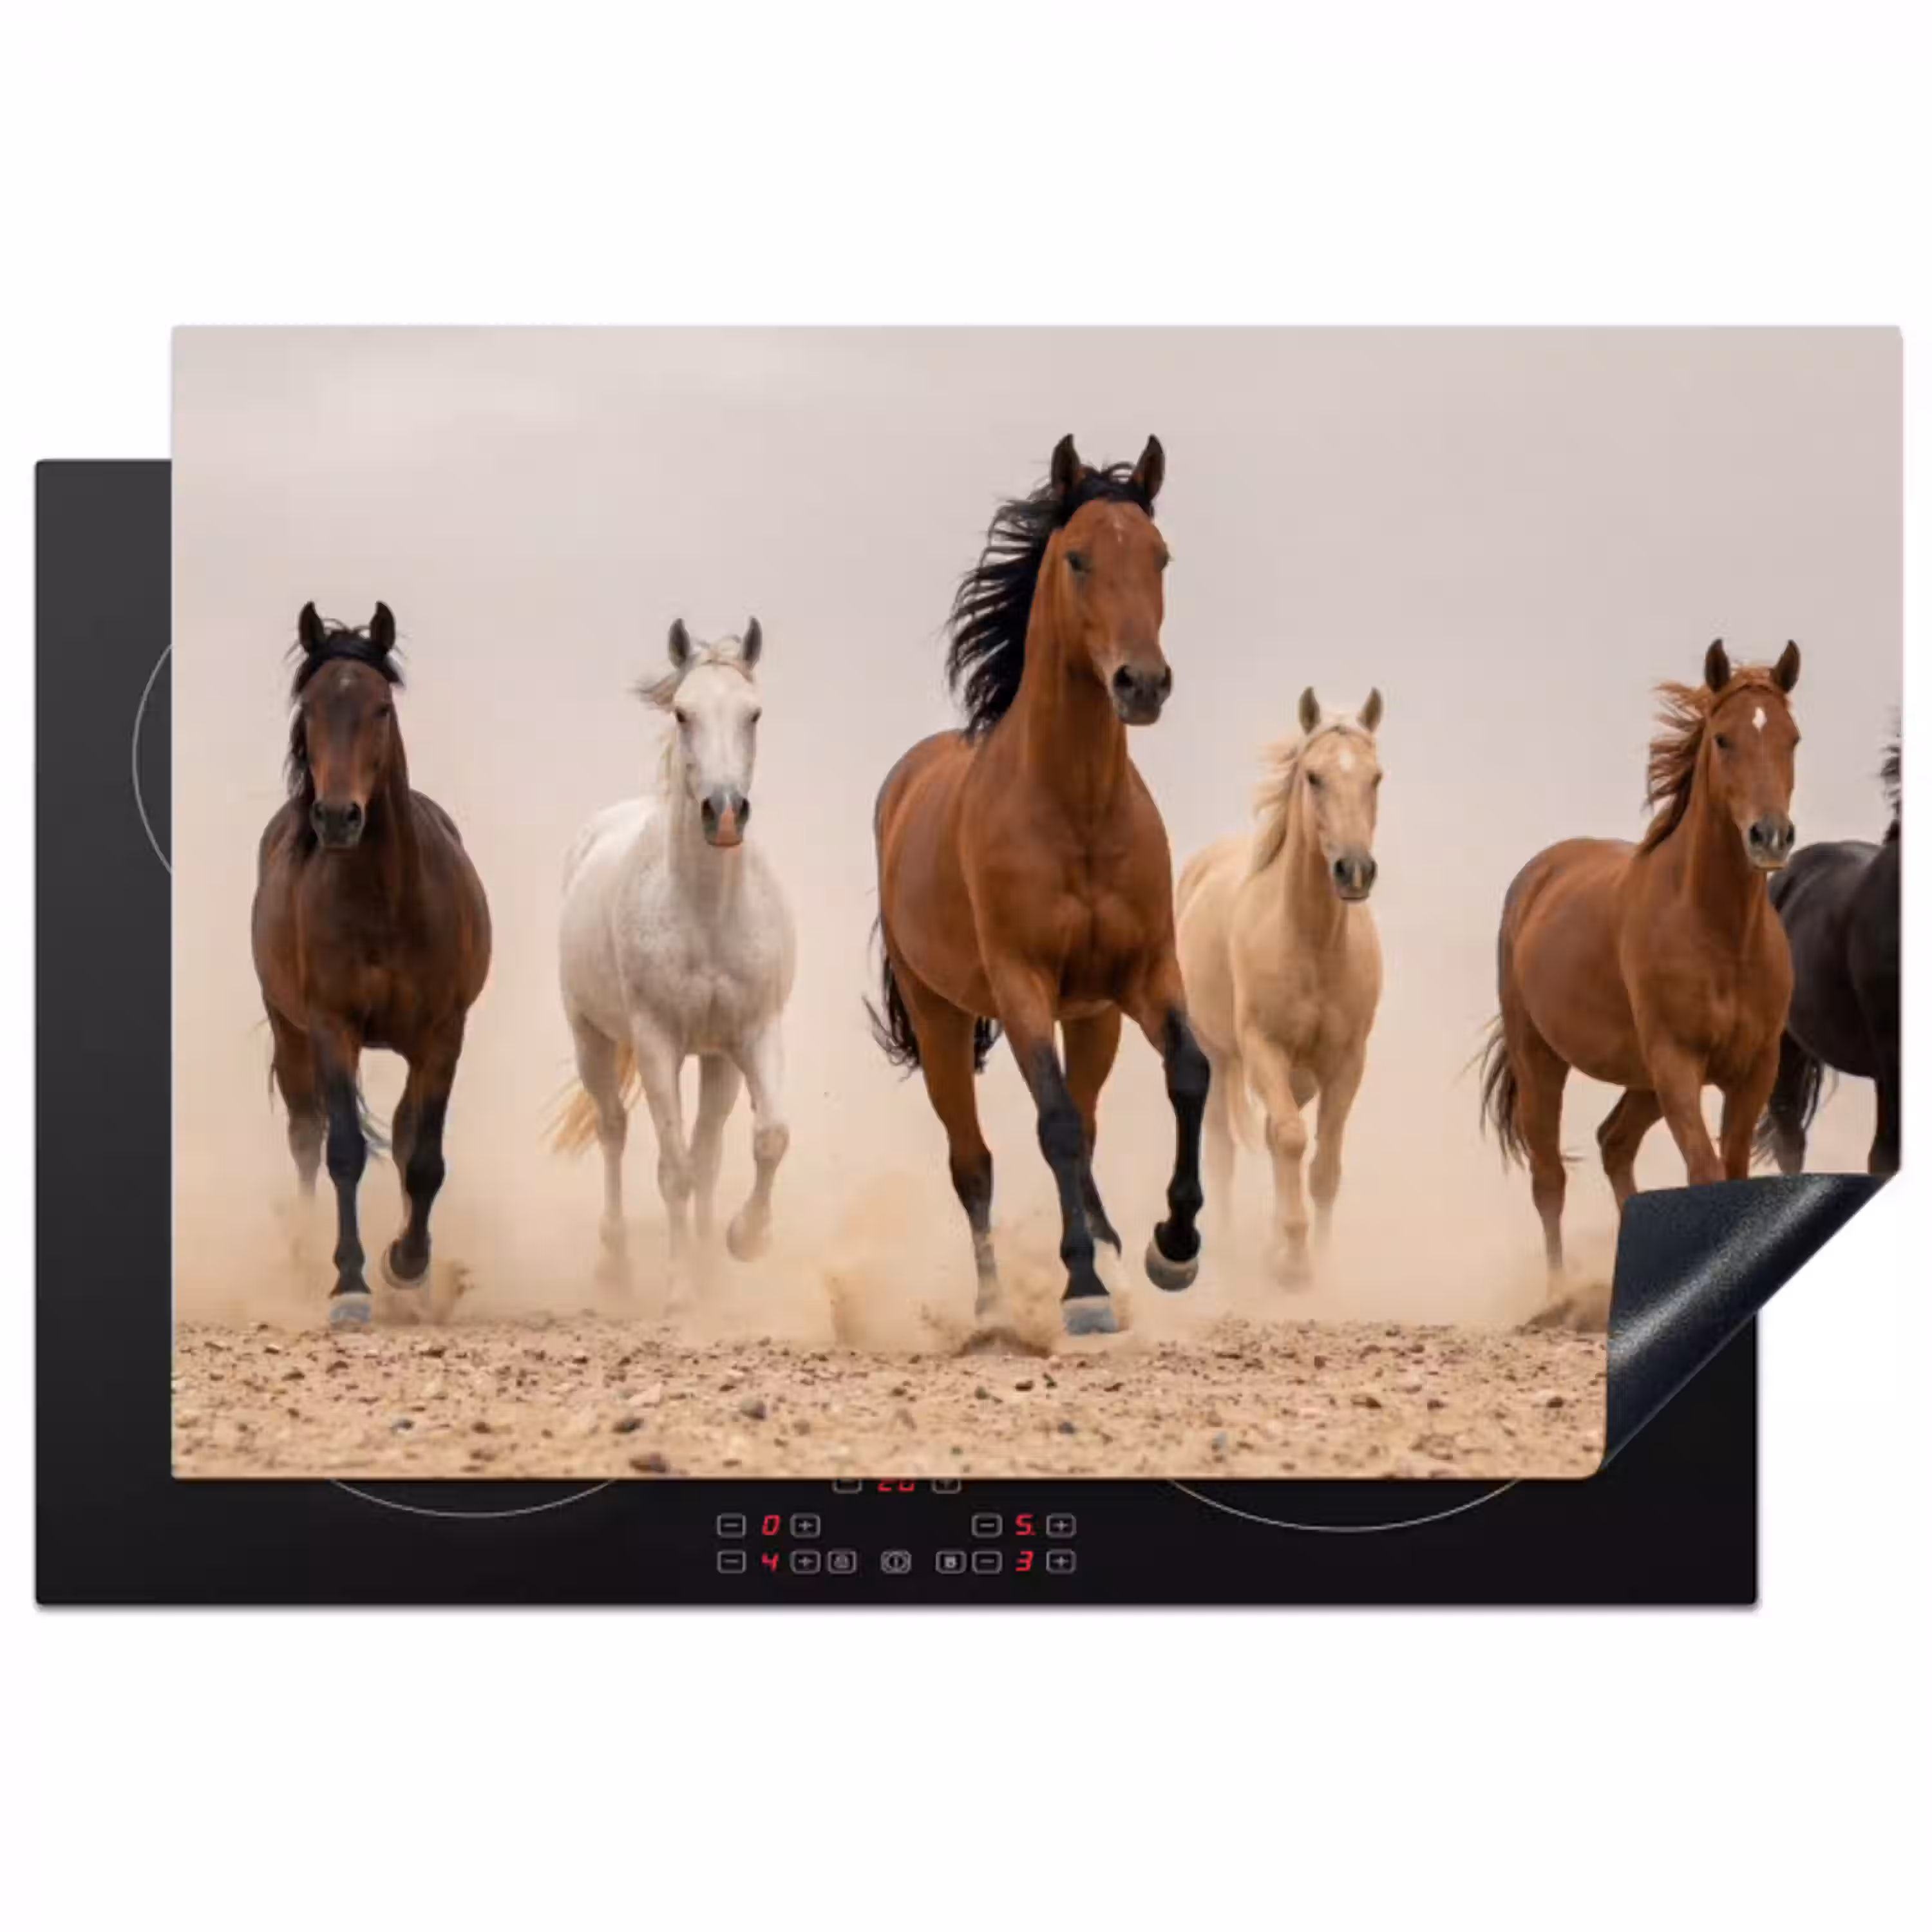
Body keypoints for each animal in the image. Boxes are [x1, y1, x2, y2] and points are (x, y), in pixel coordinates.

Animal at [251, 602, 493, 1328]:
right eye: (309, 707)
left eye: (381, 707)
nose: (336, 817)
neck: (386, 900)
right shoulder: (332, 1028)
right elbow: (344, 1153)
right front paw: (350, 1283)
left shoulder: (443, 1035)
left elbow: (425, 1159)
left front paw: (407, 1265)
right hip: (290, 1033)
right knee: (307, 1134)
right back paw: (306, 1258)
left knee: (410, 1132)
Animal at [553, 620, 794, 1299]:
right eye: (684, 713)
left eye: (754, 713)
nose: (726, 812)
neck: (706, 912)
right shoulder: (658, 1043)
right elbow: (674, 1170)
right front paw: (682, 1287)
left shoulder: (753, 1033)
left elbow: (767, 1139)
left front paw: (743, 1242)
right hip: (593, 1039)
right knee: (613, 1128)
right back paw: (616, 1262)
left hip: (716, 1061)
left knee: (709, 1151)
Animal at [869, 433, 1209, 1339]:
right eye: (1080, 558)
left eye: (1161, 556)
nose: (1142, 684)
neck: (1078, 809)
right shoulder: (1020, 985)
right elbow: (1049, 1124)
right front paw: (1081, 1289)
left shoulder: (1144, 976)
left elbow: (1189, 1073)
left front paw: (1172, 1247)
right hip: (942, 1018)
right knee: (975, 1162)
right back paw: (994, 1309)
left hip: (1092, 1018)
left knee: (1087, 1124)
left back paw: (1118, 1252)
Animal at [1176, 687, 1385, 1285]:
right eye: (1313, 777)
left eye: (1376, 777)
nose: (1354, 871)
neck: (1311, 943)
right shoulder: (1263, 1048)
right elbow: (1290, 1140)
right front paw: (1293, 1261)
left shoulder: (1346, 1062)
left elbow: (1325, 1165)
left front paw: (1317, 1257)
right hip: (1219, 1057)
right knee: (1224, 1149)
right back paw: (1226, 1245)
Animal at [1478, 639, 1802, 1326]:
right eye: (1725, 739)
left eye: (1792, 738)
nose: (1770, 837)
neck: (1720, 932)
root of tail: (1540, 873)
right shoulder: (1678, 1062)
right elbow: (1705, 1171)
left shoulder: (1753, 1069)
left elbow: (1732, 1171)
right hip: (1543, 1060)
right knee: (1550, 1177)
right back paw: (1558, 1297)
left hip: (1641, 1080)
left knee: (1613, 1144)